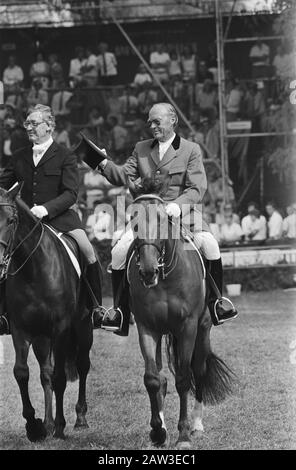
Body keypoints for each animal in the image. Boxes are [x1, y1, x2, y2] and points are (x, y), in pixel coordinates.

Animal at [0, 185, 93, 442]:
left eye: (11, 220)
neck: (34, 268)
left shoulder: (60, 329)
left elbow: (61, 378)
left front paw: (60, 425)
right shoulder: (21, 329)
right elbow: (22, 373)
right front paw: (35, 426)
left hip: (83, 328)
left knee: (82, 365)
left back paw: (79, 418)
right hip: (41, 337)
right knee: (45, 373)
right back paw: (49, 423)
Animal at [128, 183, 236, 448]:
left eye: (161, 220)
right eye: (133, 221)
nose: (147, 271)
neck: (165, 276)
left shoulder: (187, 327)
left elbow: (184, 380)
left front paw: (184, 435)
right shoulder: (147, 327)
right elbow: (153, 379)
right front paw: (158, 431)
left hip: (203, 329)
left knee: (199, 370)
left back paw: (196, 424)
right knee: (161, 377)